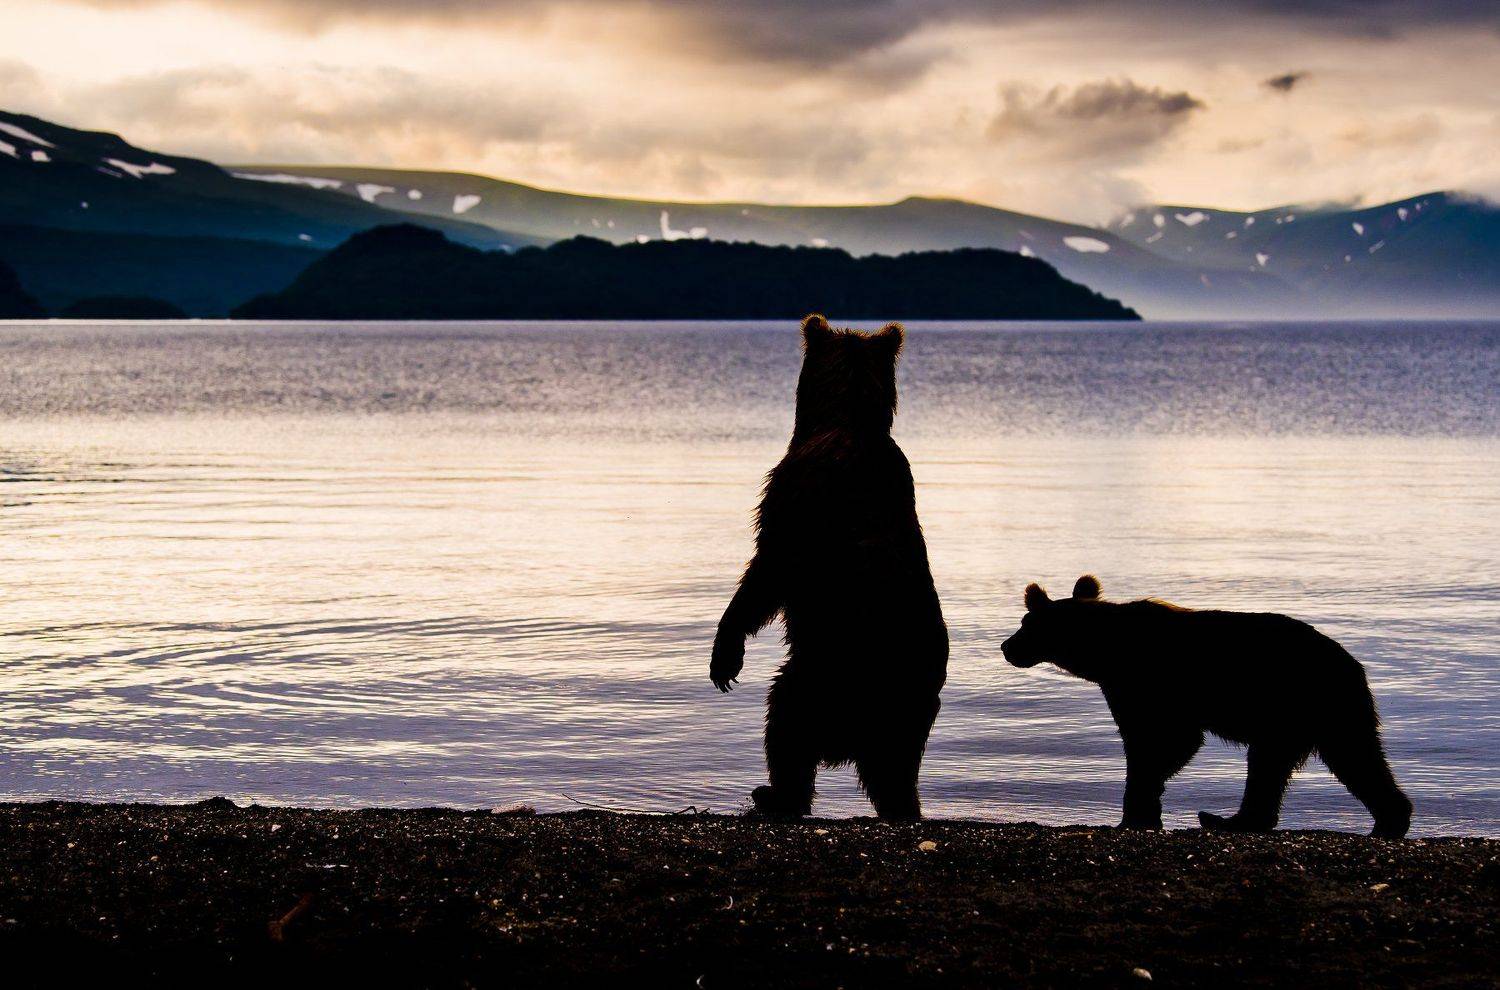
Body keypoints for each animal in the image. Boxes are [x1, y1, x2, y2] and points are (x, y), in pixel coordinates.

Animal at [710, 314, 949, 821]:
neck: (845, 419)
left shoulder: (794, 498)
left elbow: (767, 571)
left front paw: (725, 655)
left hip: (823, 672)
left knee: (785, 722)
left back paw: (775, 795)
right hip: (905, 711)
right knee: (895, 774)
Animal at [1001, 575, 1412, 838]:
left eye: (1026, 624)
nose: (1007, 647)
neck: (1105, 653)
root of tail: (1353, 665)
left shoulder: (1149, 687)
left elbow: (1164, 742)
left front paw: (1136, 812)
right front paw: (1143, 811)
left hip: (1295, 704)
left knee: (1277, 763)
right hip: (1328, 713)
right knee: (1352, 759)